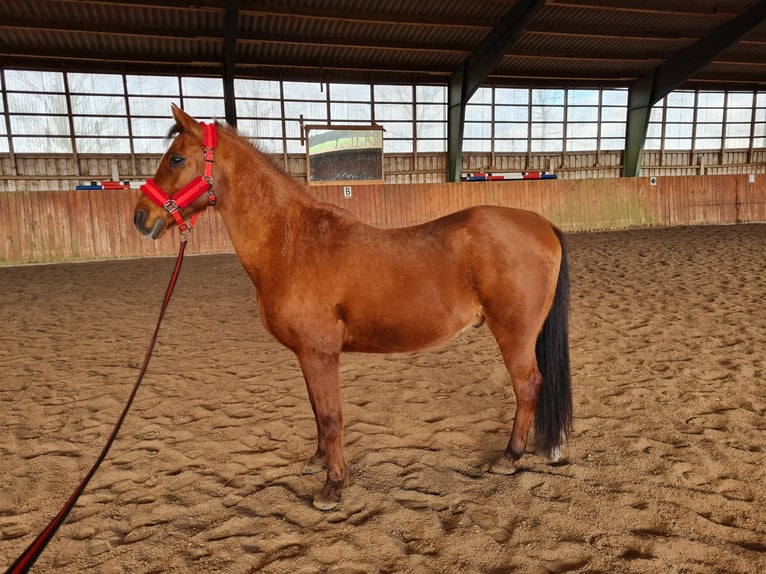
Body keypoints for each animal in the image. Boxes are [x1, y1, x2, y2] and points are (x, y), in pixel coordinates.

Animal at [135, 106, 572, 510]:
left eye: (176, 159)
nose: (141, 217)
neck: (292, 242)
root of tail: (542, 226)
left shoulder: (320, 354)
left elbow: (331, 418)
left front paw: (333, 487)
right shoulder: (307, 355)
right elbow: (317, 410)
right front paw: (318, 461)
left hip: (514, 334)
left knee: (528, 385)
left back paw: (509, 457)